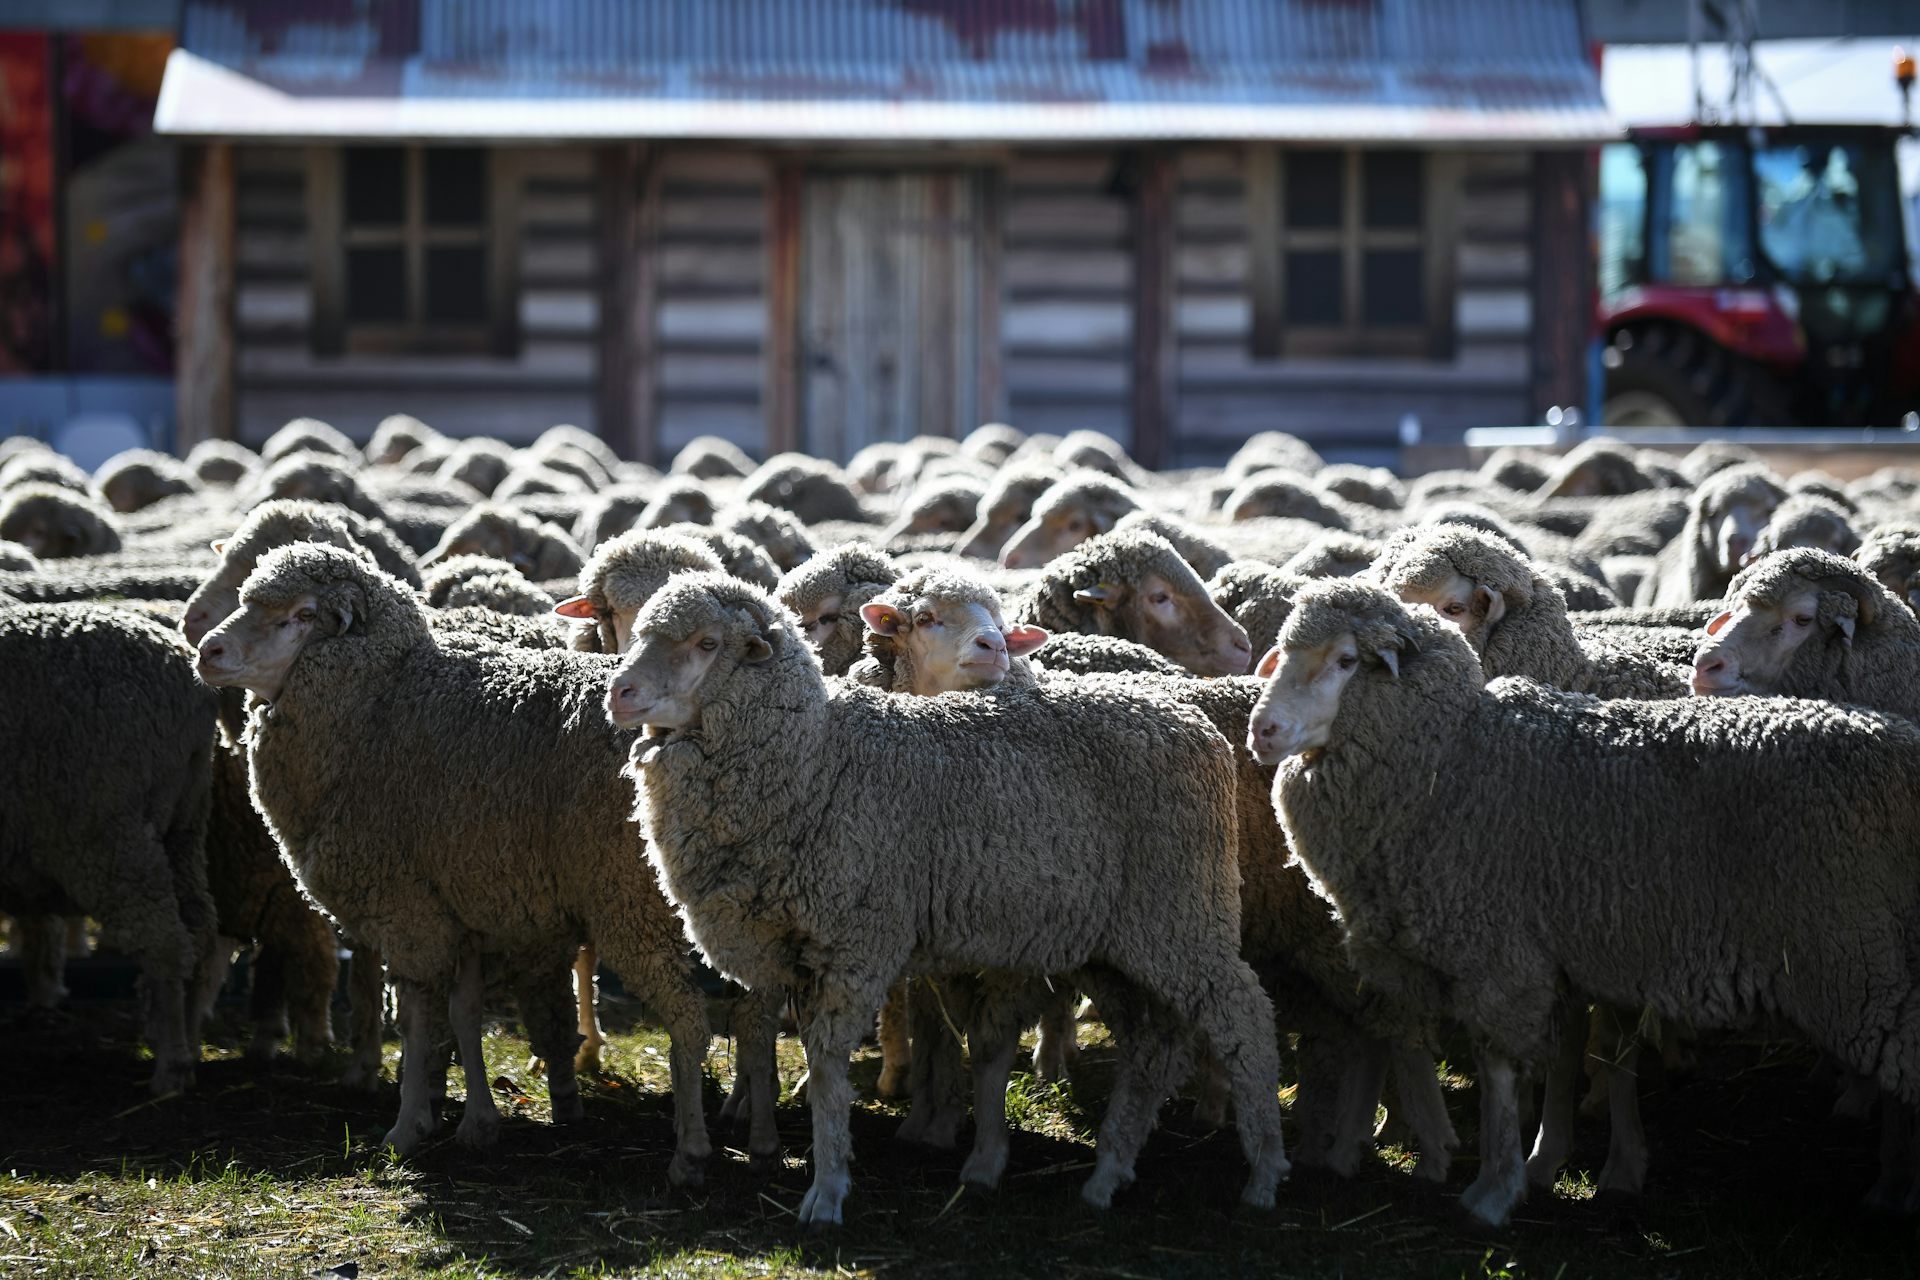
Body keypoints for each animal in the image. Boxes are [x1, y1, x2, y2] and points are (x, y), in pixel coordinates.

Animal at [1, 603, 220, 1095]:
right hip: (183, 827)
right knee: (198, 932)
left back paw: (172, 1068)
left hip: (105, 830)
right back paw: (188, 1040)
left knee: (164, 943)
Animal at [194, 543, 781, 1175]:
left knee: (690, 1018)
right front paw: (477, 1123)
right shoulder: (468, 901)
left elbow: (418, 1018)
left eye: (302, 615)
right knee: (755, 1016)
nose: (208, 651)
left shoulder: (409, 907)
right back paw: (762, 1137)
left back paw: (692, 1149)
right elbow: (464, 1013)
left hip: (630, 903)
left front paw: (407, 1127)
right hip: (736, 906)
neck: (377, 705)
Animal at [609, 572, 1289, 1222]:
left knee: (1245, 1016)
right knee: (1152, 1046)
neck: (815, 758)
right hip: (1114, 942)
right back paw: (1106, 1176)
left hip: (1181, 912)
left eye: (707, 643)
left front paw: (827, 1192)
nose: (620, 694)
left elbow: (829, 1070)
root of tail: (1191, 720)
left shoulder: (856, 943)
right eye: (639, 635)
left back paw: (1263, 1173)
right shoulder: (800, 950)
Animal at [1248, 577, 1920, 1226]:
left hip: (1860, 960)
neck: (1450, 756)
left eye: (1345, 661)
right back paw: (1891, 1186)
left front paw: (1494, 1191)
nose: (1262, 731)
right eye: (1283, 652)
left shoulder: (1501, 956)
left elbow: (1498, 1069)